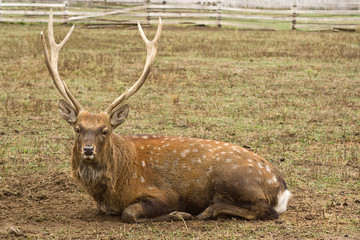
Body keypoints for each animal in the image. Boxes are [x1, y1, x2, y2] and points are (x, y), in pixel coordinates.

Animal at [41, 10, 290, 222]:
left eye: (105, 130)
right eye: (77, 128)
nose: (88, 149)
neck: (113, 187)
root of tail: (282, 186)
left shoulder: (162, 194)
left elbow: (130, 213)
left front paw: (179, 214)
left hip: (232, 178)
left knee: (266, 210)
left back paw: (208, 210)